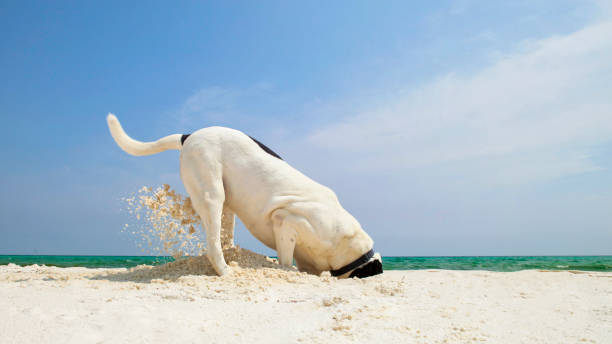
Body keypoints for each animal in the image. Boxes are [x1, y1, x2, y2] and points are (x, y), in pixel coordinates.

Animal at [107, 114, 380, 278]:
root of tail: (190, 135)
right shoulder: (286, 221)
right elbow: (285, 260)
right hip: (212, 193)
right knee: (213, 245)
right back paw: (226, 271)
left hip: (227, 204)